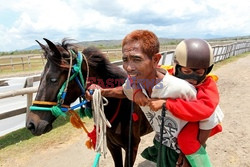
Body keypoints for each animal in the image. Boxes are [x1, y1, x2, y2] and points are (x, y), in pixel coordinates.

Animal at [26, 38, 152, 166]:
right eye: (41, 77)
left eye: (53, 79)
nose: (31, 124)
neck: (121, 104)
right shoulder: (113, 146)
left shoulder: (132, 147)